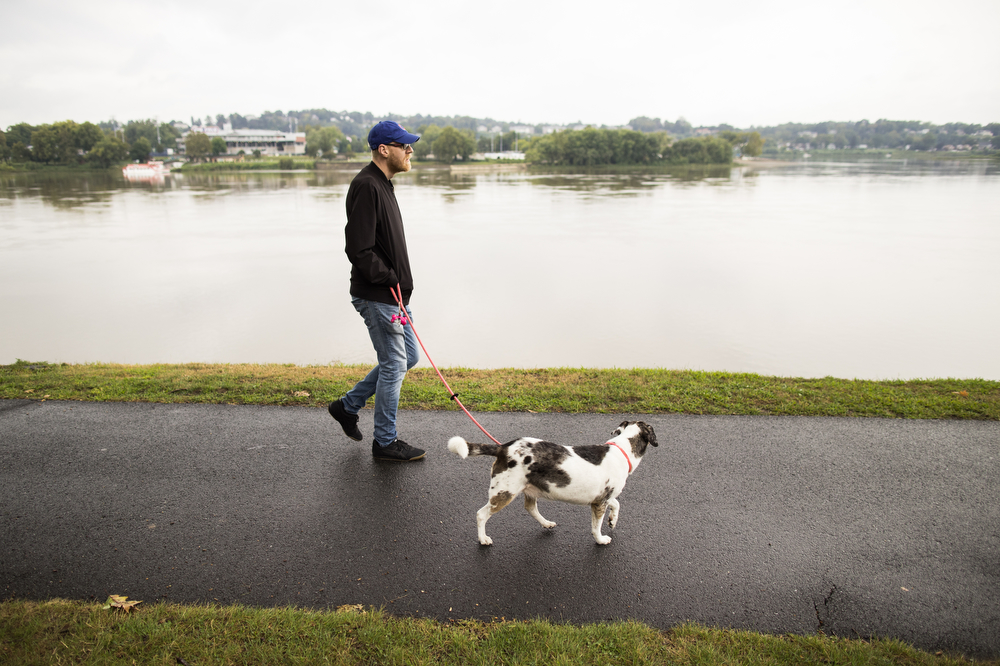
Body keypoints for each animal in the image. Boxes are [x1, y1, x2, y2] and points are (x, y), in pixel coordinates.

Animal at [448, 420, 656, 544]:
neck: (622, 450)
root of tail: (503, 448)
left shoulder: (603, 498)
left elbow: (617, 503)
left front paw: (612, 520)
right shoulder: (599, 504)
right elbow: (596, 527)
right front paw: (601, 539)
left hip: (528, 489)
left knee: (530, 508)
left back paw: (546, 523)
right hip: (504, 493)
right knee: (481, 514)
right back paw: (483, 539)